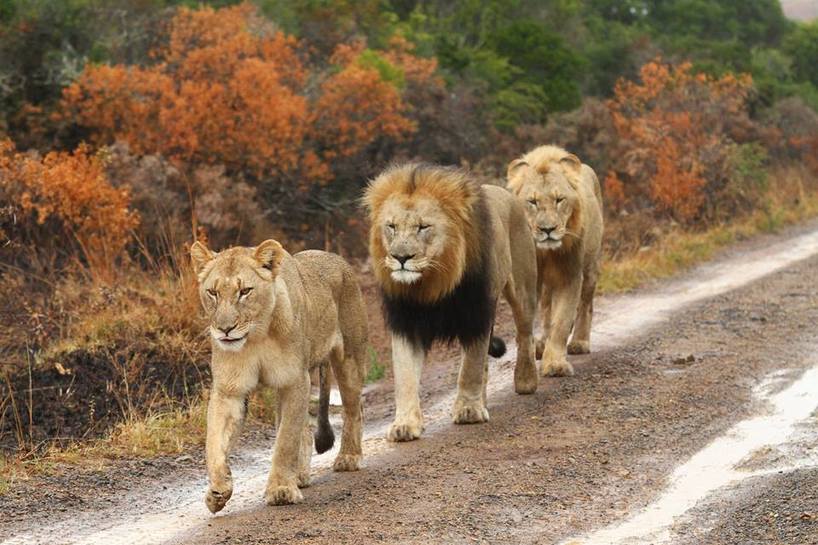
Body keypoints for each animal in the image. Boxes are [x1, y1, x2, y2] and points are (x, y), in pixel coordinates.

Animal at [190, 238, 364, 510]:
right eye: (213, 292)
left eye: (245, 291)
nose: (225, 329)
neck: (257, 335)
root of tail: (337, 258)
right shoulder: (229, 390)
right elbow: (214, 443)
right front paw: (218, 490)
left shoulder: (294, 381)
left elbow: (285, 441)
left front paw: (281, 489)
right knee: (306, 429)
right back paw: (300, 475)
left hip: (349, 360)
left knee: (353, 410)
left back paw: (348, 457)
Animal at [364, 163, 536, 442]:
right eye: (391, 226)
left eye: (423, 227)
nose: (400, 257)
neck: (431, 285)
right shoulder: (405, 323)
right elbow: (405, 377)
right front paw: (404, 425)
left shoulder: (476, 314)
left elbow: (470, 367)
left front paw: (468, 410)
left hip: (522, 290)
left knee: (525, 335)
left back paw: (526, 379)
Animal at [506, 144, 604, 376]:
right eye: (532, 202)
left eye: (559, 200)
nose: (547, 229)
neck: (545, 253)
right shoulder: (526, 279)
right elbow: (529, 320)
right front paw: (531, 352)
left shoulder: (570, 276)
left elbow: (561, 322)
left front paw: (555, 364)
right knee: (546, 309)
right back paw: (542, 344)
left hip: (590, 267)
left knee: (586, 304)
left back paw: (579, 342)